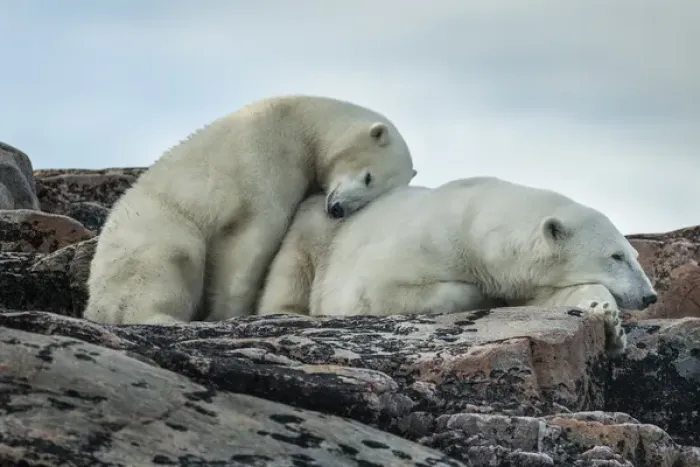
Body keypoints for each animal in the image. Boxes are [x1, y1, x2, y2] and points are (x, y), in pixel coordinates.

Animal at [83, 94, 416, 325]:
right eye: (369, 177)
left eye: (375, 193)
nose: (338, 209)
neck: (302, 123)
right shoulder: (267, 159)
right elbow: (251, 240)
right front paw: (229, 313)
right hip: (156, 227)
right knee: (168, 261)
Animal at [257, 176, 658, 354]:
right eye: (616, 256)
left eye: (633, 255)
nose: (650, 297)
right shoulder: (422, 245)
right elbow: (376, 291)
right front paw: (485, 295)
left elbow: (552, 297)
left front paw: (610, 321)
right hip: (316, 227)